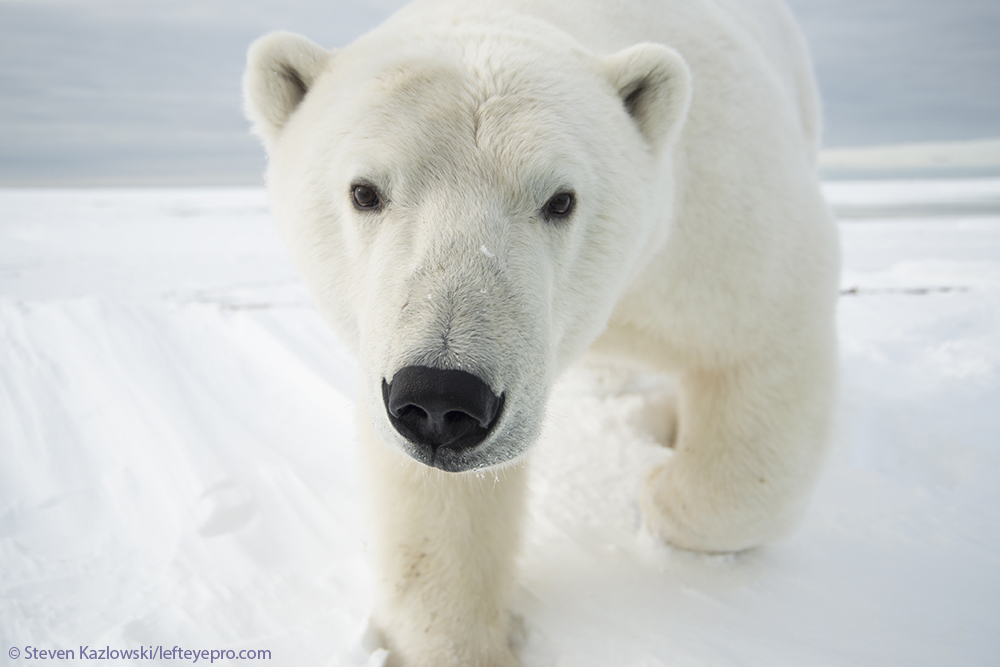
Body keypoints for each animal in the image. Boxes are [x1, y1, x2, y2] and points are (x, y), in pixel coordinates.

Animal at [242, 0, 836, 664]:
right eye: (365, 192)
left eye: (561, 200)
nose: (443, 398)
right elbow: (437, 500)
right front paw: (457, 637)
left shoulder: (713, 222)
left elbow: (761, 344)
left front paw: (660, 494)